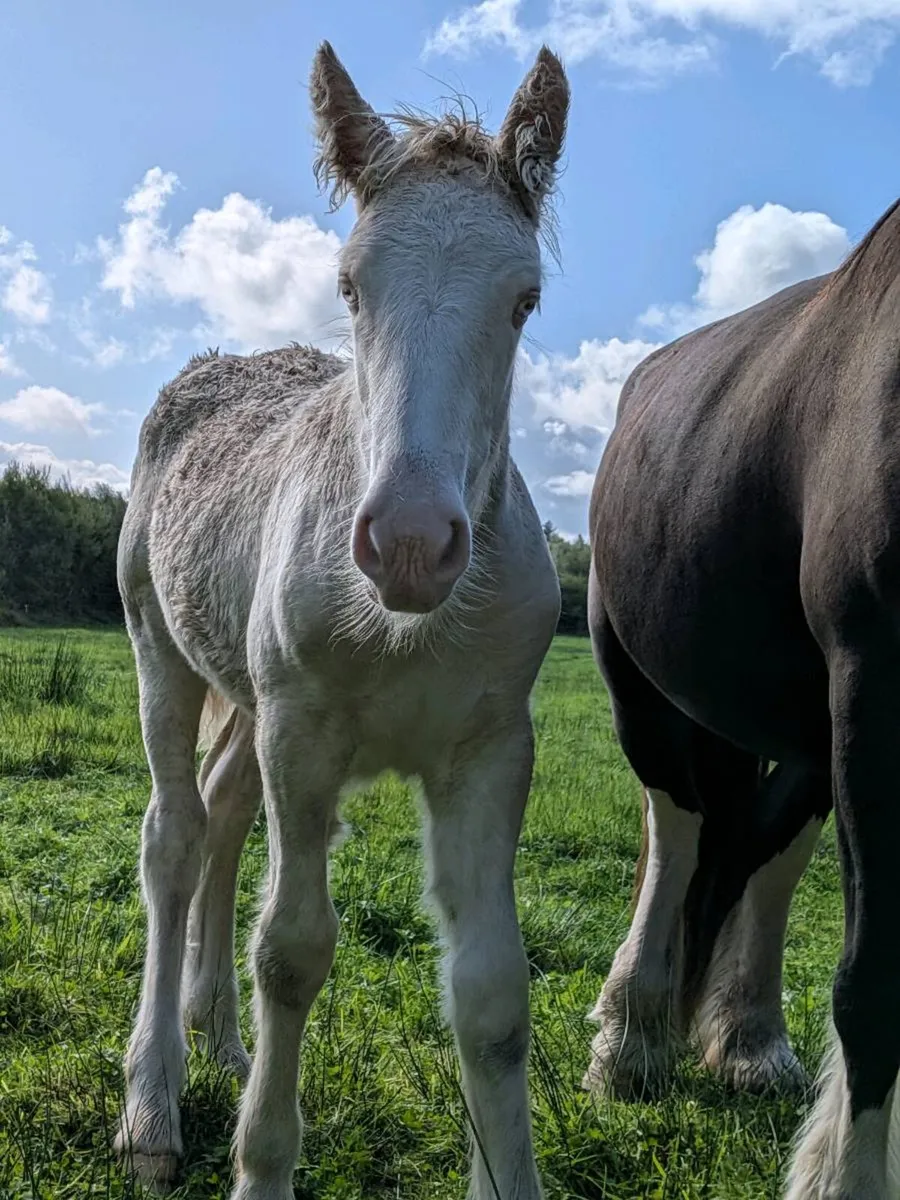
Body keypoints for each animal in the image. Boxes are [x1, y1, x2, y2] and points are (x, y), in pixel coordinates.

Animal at [114, 42, 569, 1200]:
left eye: (524, 300)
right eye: (350, 285)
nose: (409, 542)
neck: (409, 629)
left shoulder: (491, 747)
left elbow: (492, 991)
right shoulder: (305, 731)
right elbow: (293, 952)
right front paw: (262, 1164)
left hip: (248, 693)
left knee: (226, 815)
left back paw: (220, 1042)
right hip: (163, 652)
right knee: (175, 835)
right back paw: (153, 1101)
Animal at [587, 197, 900, 1198]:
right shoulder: (878, 692)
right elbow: (876, 979)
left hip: (807, 734)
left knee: (760, 851)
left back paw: (749, 1039)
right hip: (647, 700)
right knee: (679, 831)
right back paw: (632, 1039)